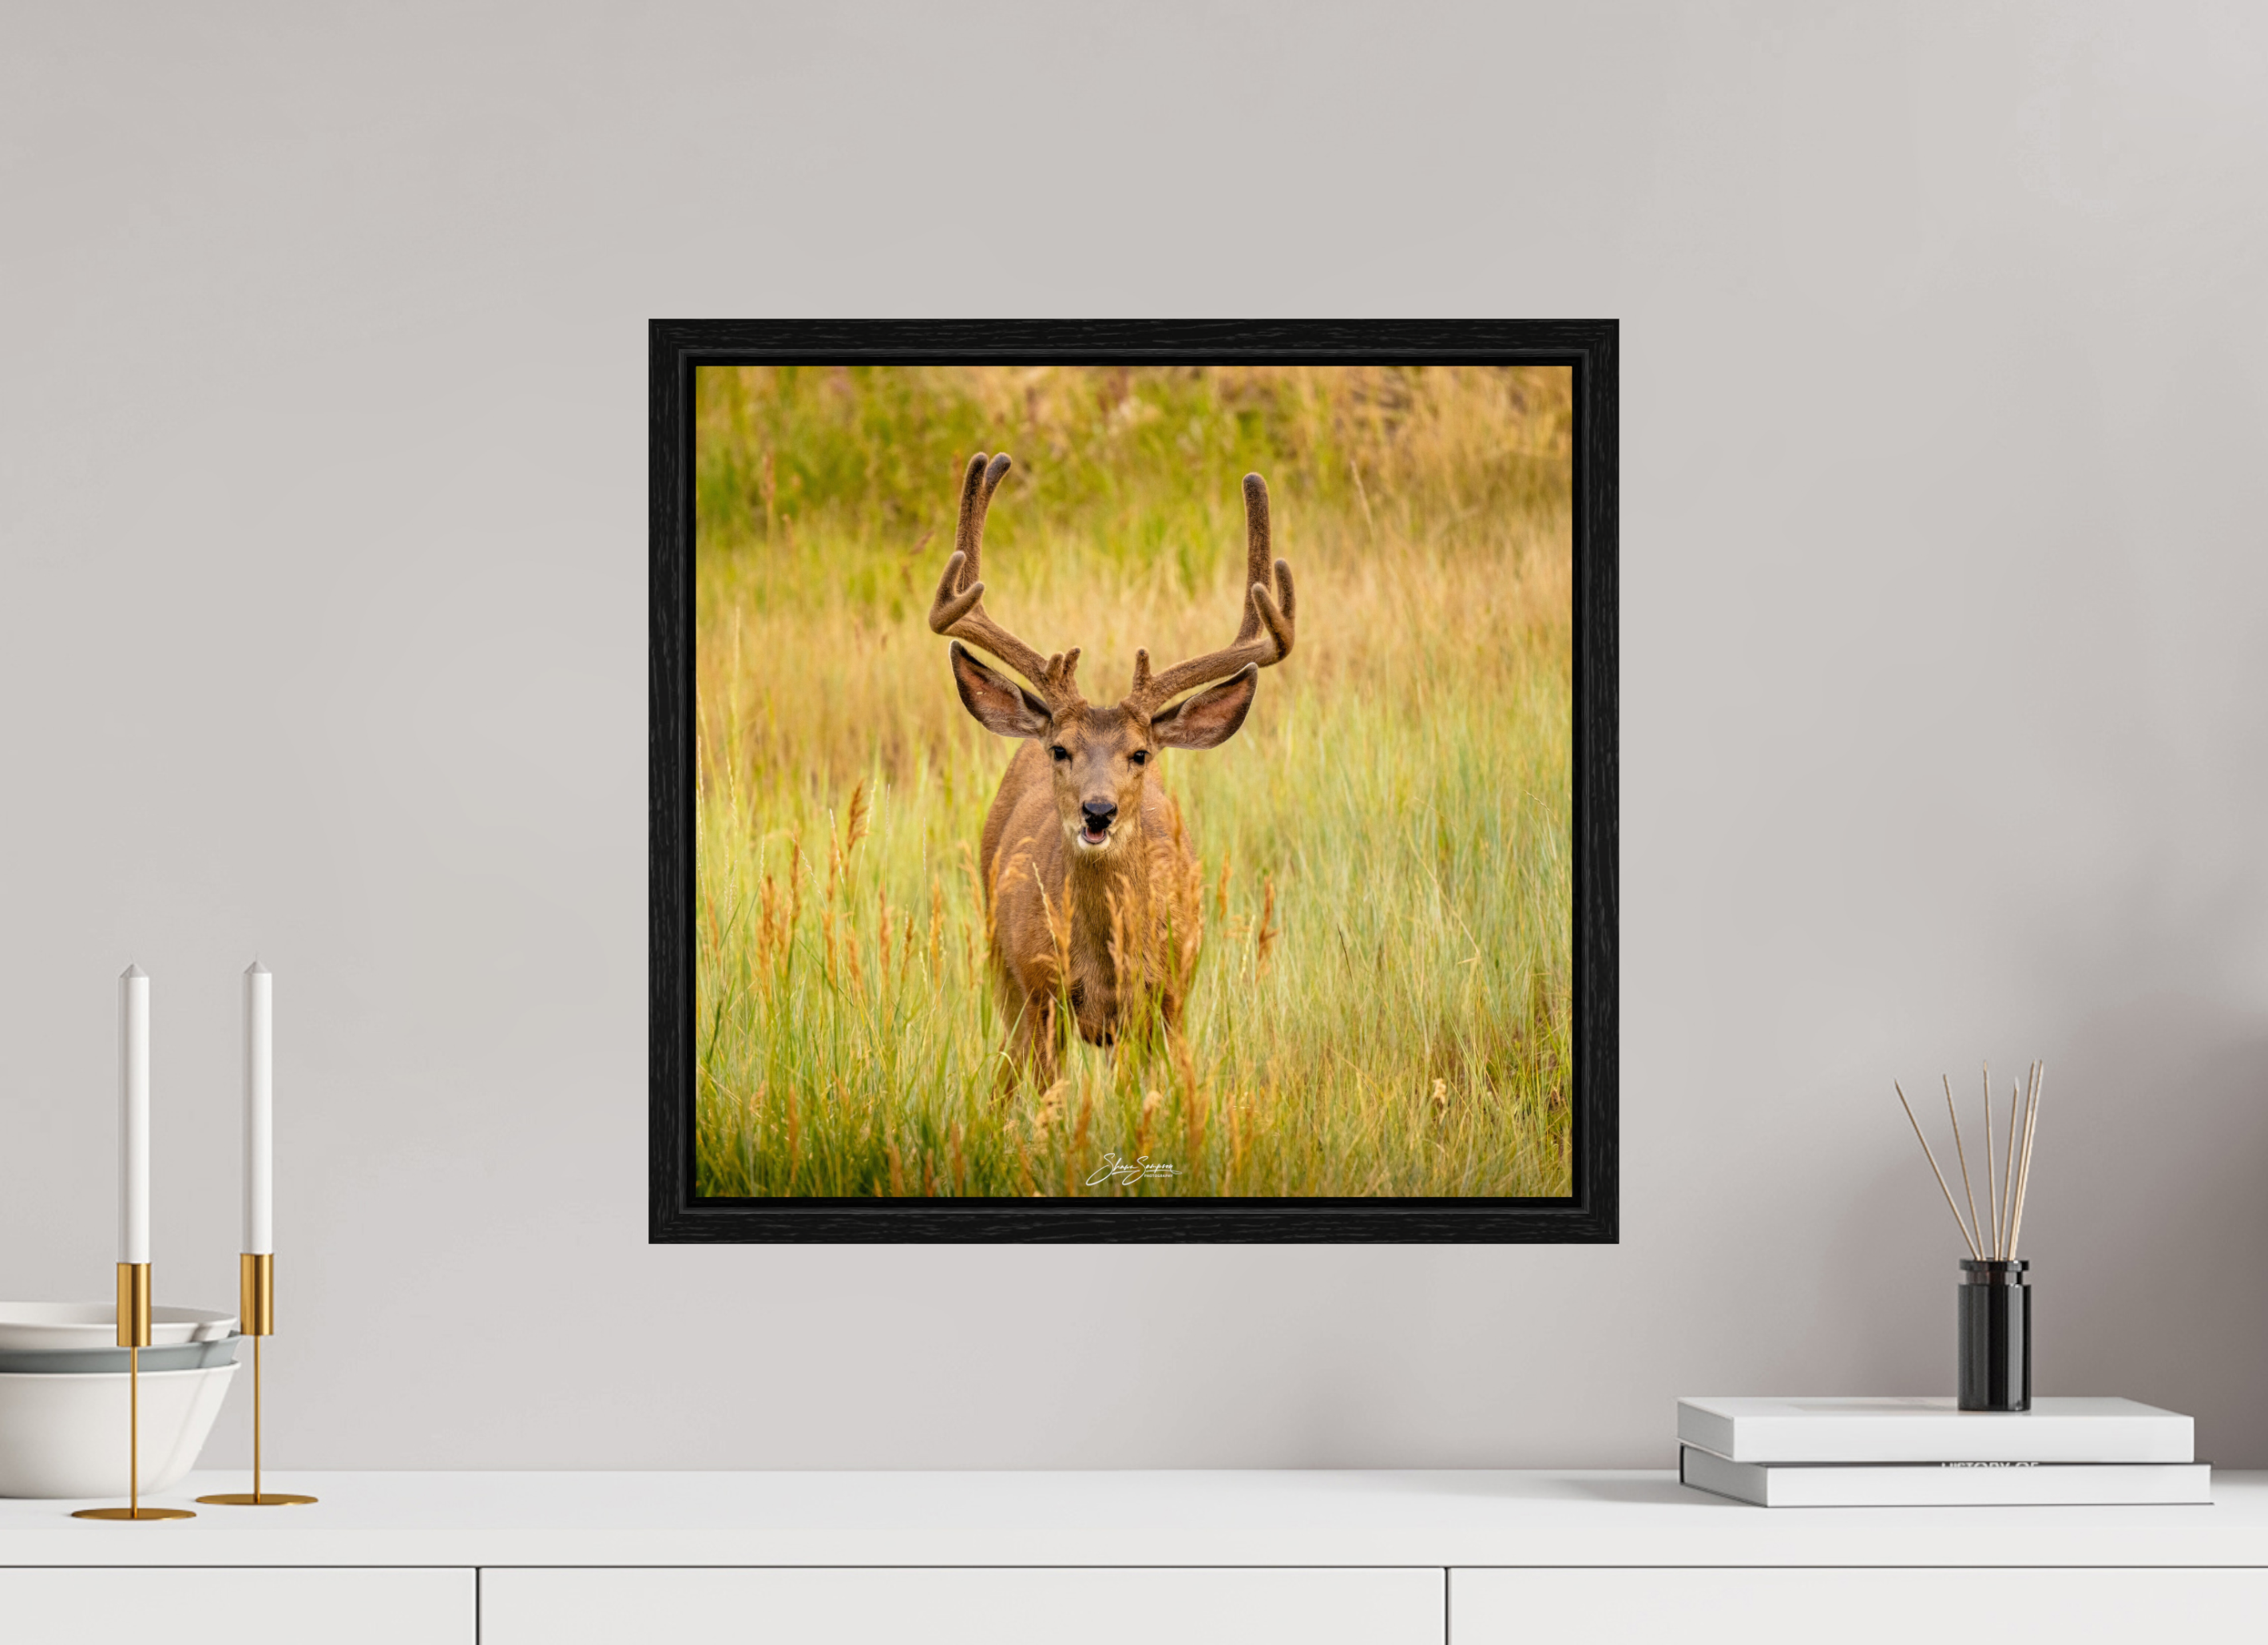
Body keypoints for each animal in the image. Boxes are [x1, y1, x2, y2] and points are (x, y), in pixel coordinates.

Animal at [929, 452, 1297, 1088]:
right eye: (1061, 750)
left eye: (1140, 754)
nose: (1097, 811)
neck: (1103, 967)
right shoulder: (1040, 994)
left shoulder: (1168, 1000)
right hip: (1000, 965)